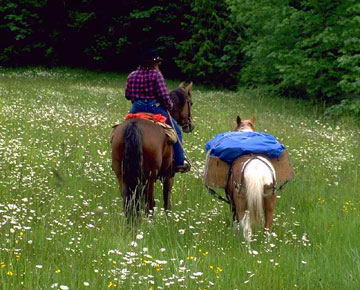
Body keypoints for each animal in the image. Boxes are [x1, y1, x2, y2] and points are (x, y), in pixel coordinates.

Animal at [111, 82, 194, 219]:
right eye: (190, 103)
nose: (191, 125)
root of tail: (134, 125)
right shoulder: (169, 175)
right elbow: (167, 201)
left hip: (121, 174)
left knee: (128, 202)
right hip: (150, 177)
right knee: (149, 203)